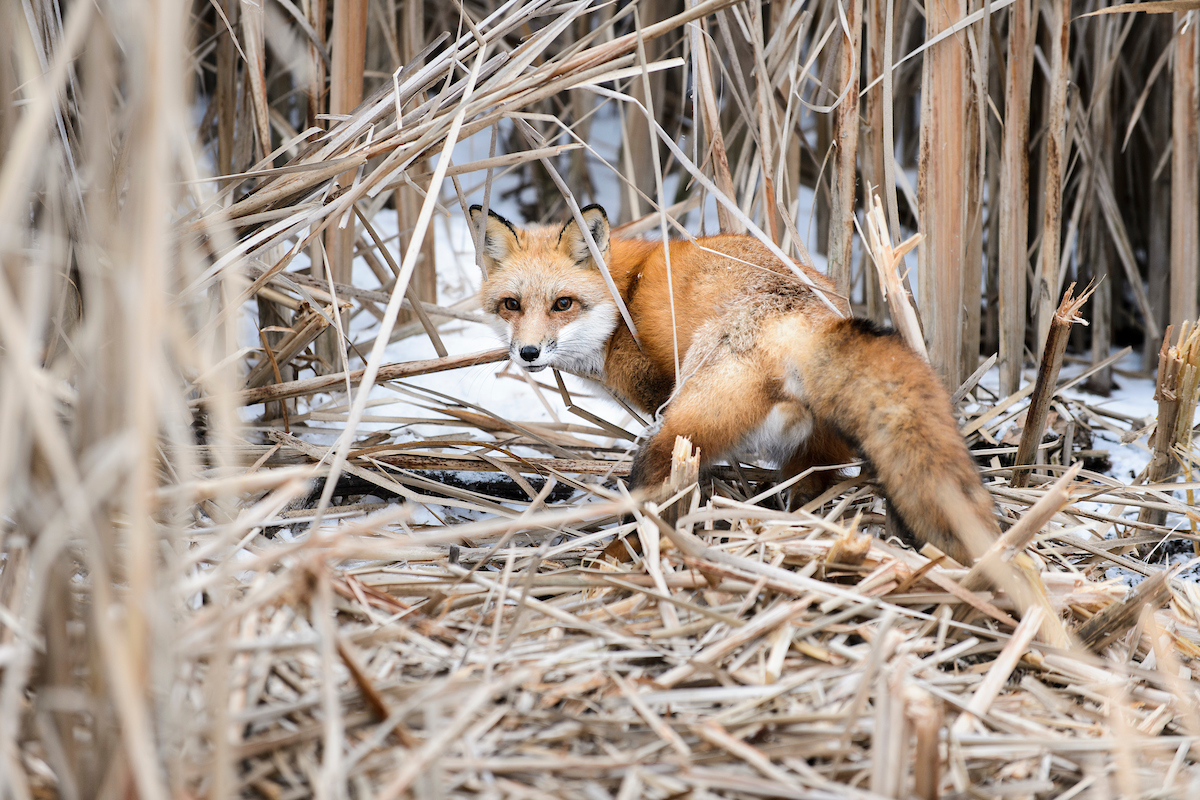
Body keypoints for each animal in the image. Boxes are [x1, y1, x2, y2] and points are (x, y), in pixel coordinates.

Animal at [469, 203, 999, 564]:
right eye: (511, 304)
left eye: (562, 303)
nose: (528, 353)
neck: (624, 300)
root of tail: (805, 324)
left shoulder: (656, 394)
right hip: (807, 461)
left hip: (674, 432)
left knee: (653, 503)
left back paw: (617, 561)